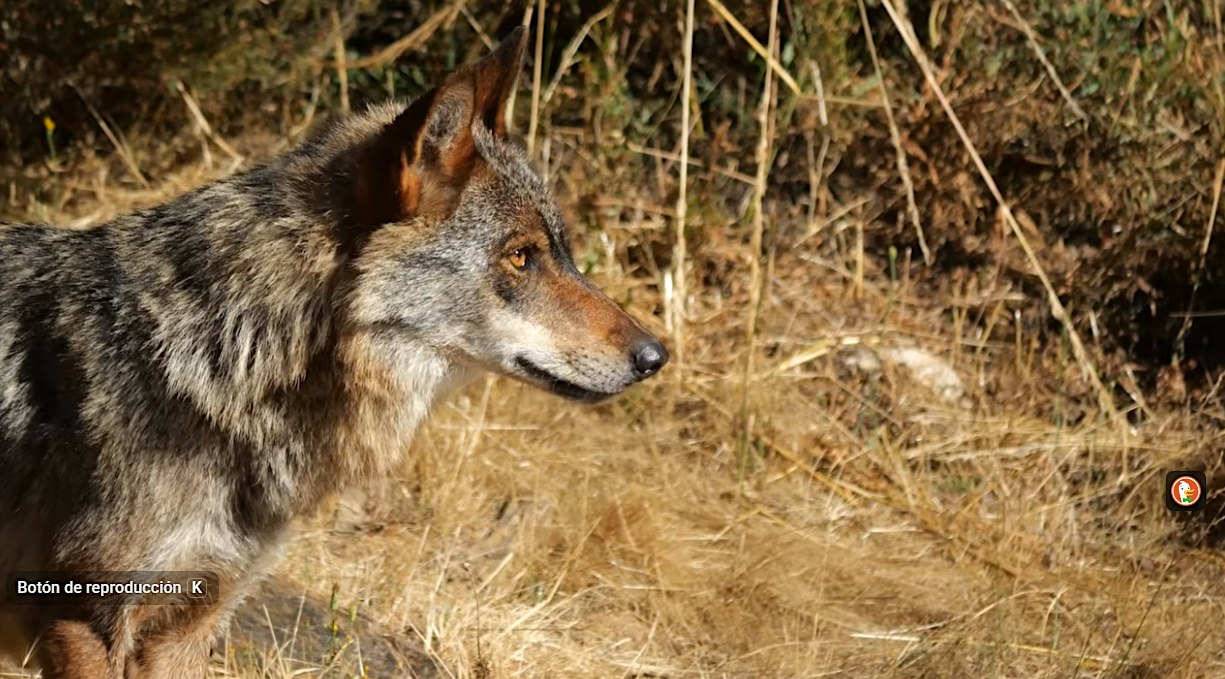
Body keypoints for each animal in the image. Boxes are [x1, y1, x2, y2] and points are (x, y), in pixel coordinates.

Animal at [0, 27, 667, 678]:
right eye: (521, 256)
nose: (655, 357)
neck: (219, 361)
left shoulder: (189, 627)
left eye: (562, 252)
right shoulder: (86, 623)